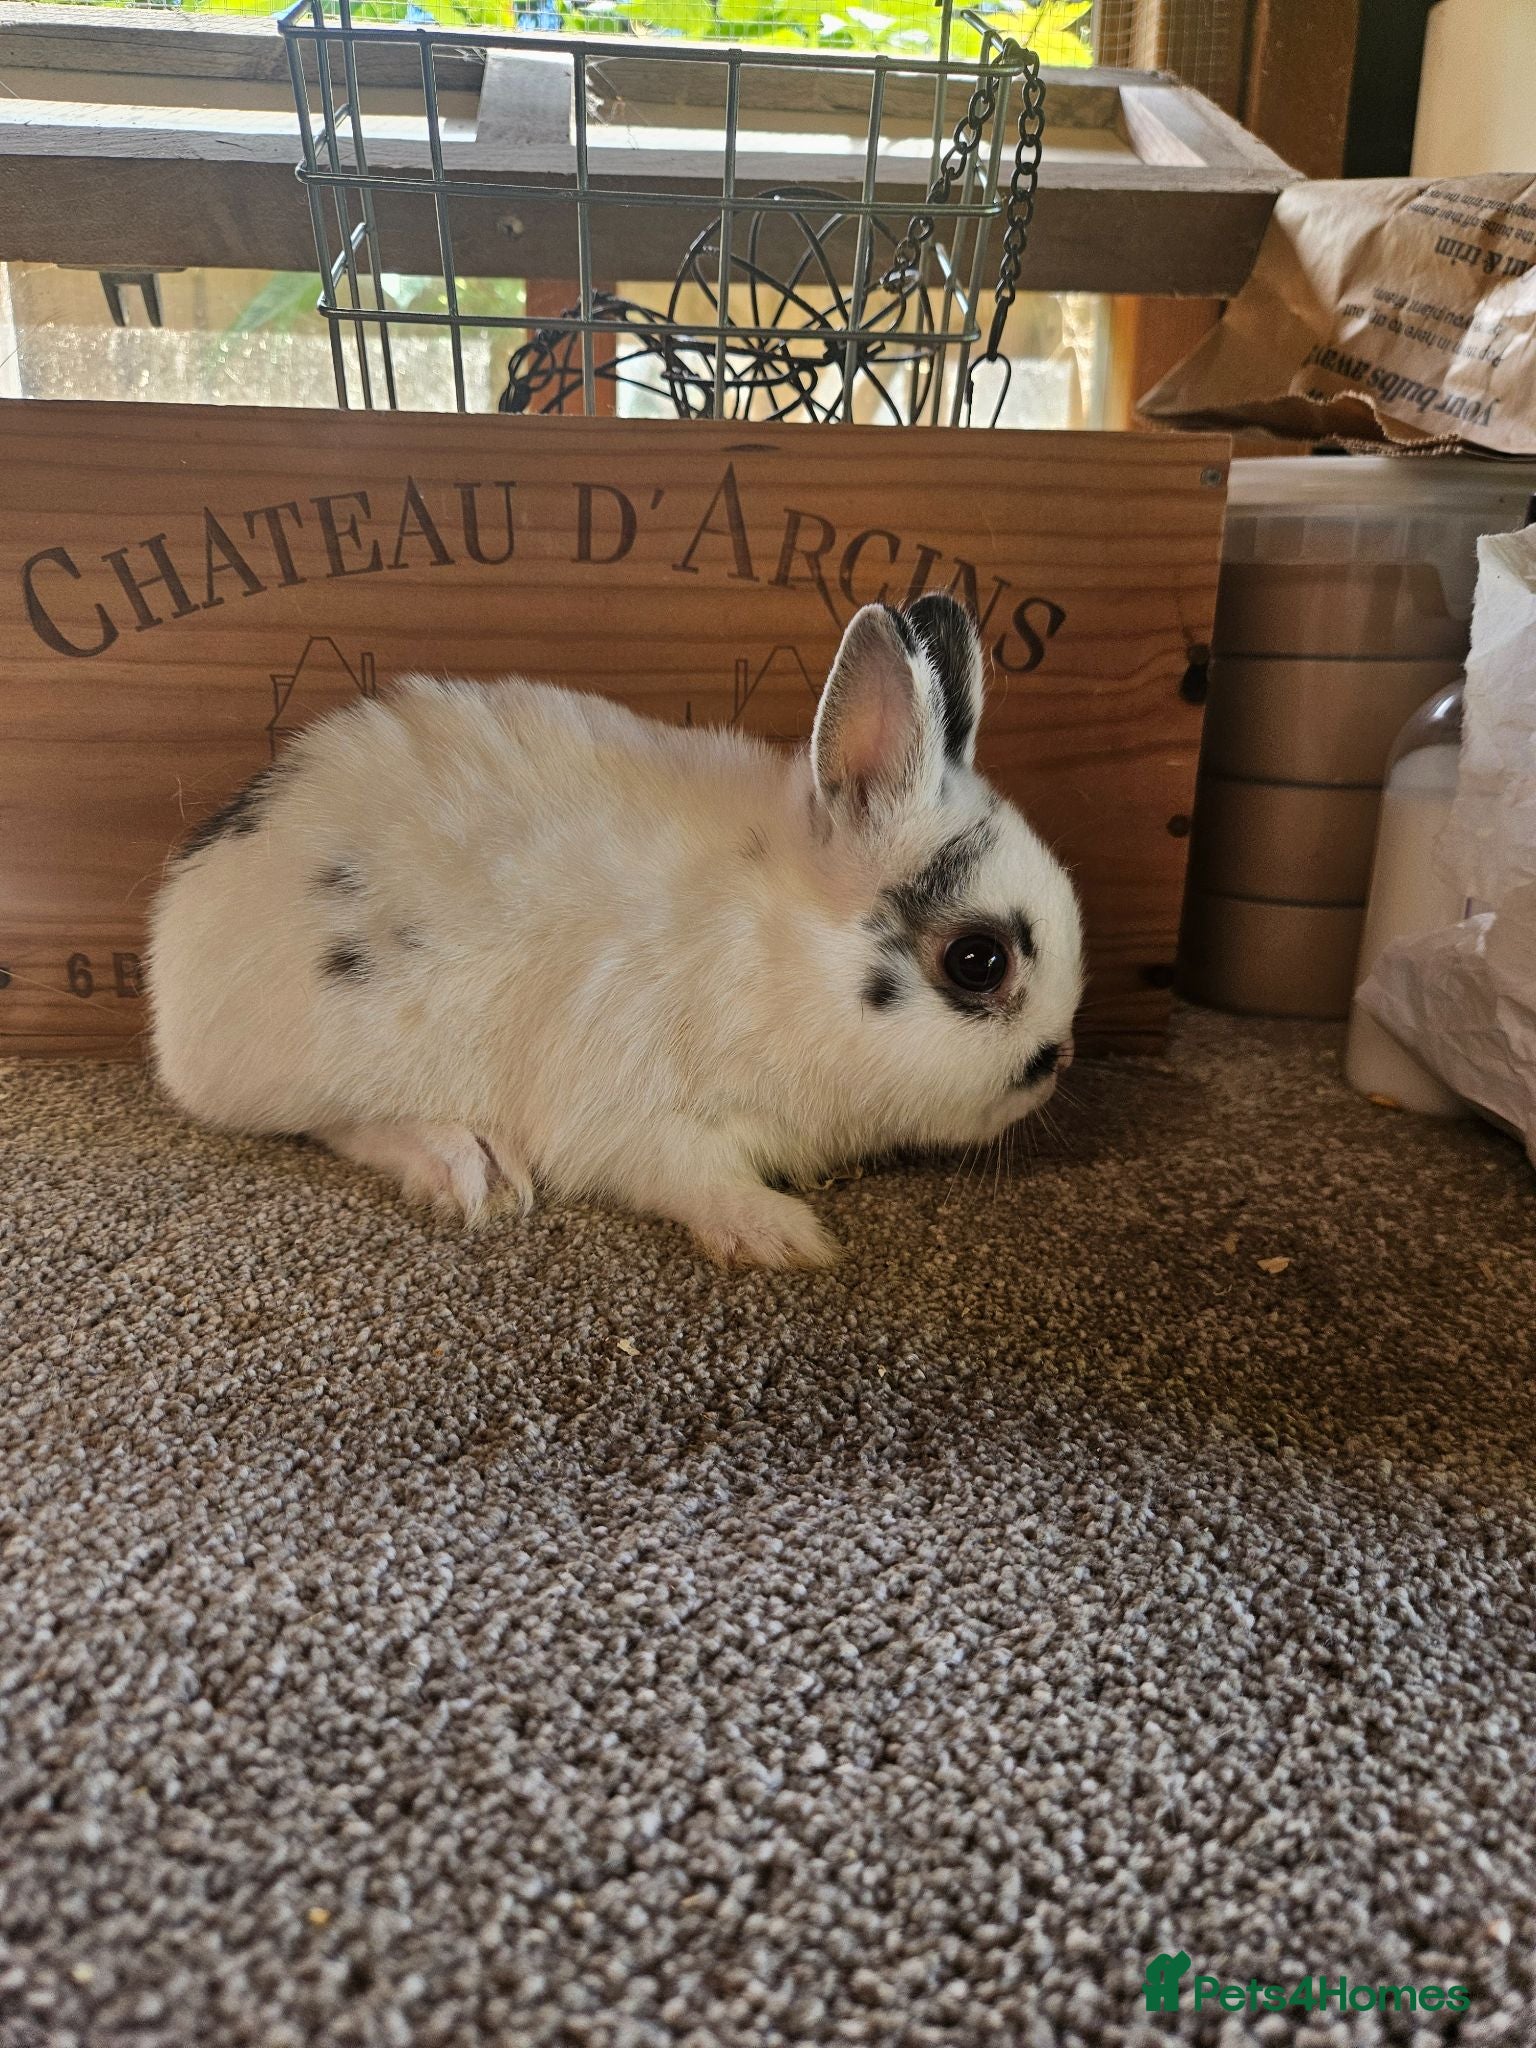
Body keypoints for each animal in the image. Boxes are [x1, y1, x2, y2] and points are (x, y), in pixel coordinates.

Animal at [148, 594, 1083, 1270]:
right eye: (977, 961)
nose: (1054, 1063)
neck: (776, 949)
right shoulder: (632, 1114)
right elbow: (686, 1175)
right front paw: (781, 1235)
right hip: (346, 1046)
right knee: (337, 1124)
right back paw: (467, 1165)